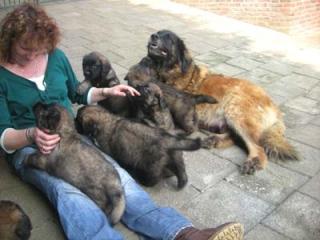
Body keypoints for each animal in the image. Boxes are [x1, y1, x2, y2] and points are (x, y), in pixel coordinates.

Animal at [146, 29, 298, 174]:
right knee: (236, 137)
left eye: (169, 38)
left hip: (235, 109)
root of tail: (275, 107)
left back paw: (253, 161)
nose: (153, 36)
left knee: (258, 147)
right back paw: (214, 140)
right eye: (158, 33)